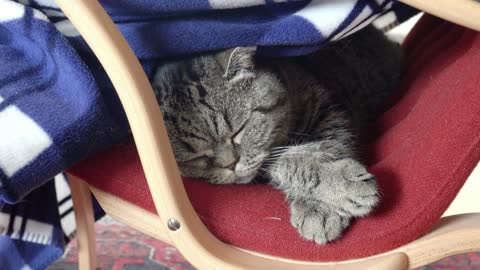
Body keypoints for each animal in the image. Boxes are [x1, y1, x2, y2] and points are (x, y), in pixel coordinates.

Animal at [152, 25, 404, 245]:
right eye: (197, 157)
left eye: (238, 130)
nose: (231, 164)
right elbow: (288, 161)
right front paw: (321, 203)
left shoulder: (327, 111)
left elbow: (329, 145)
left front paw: (321, 205)